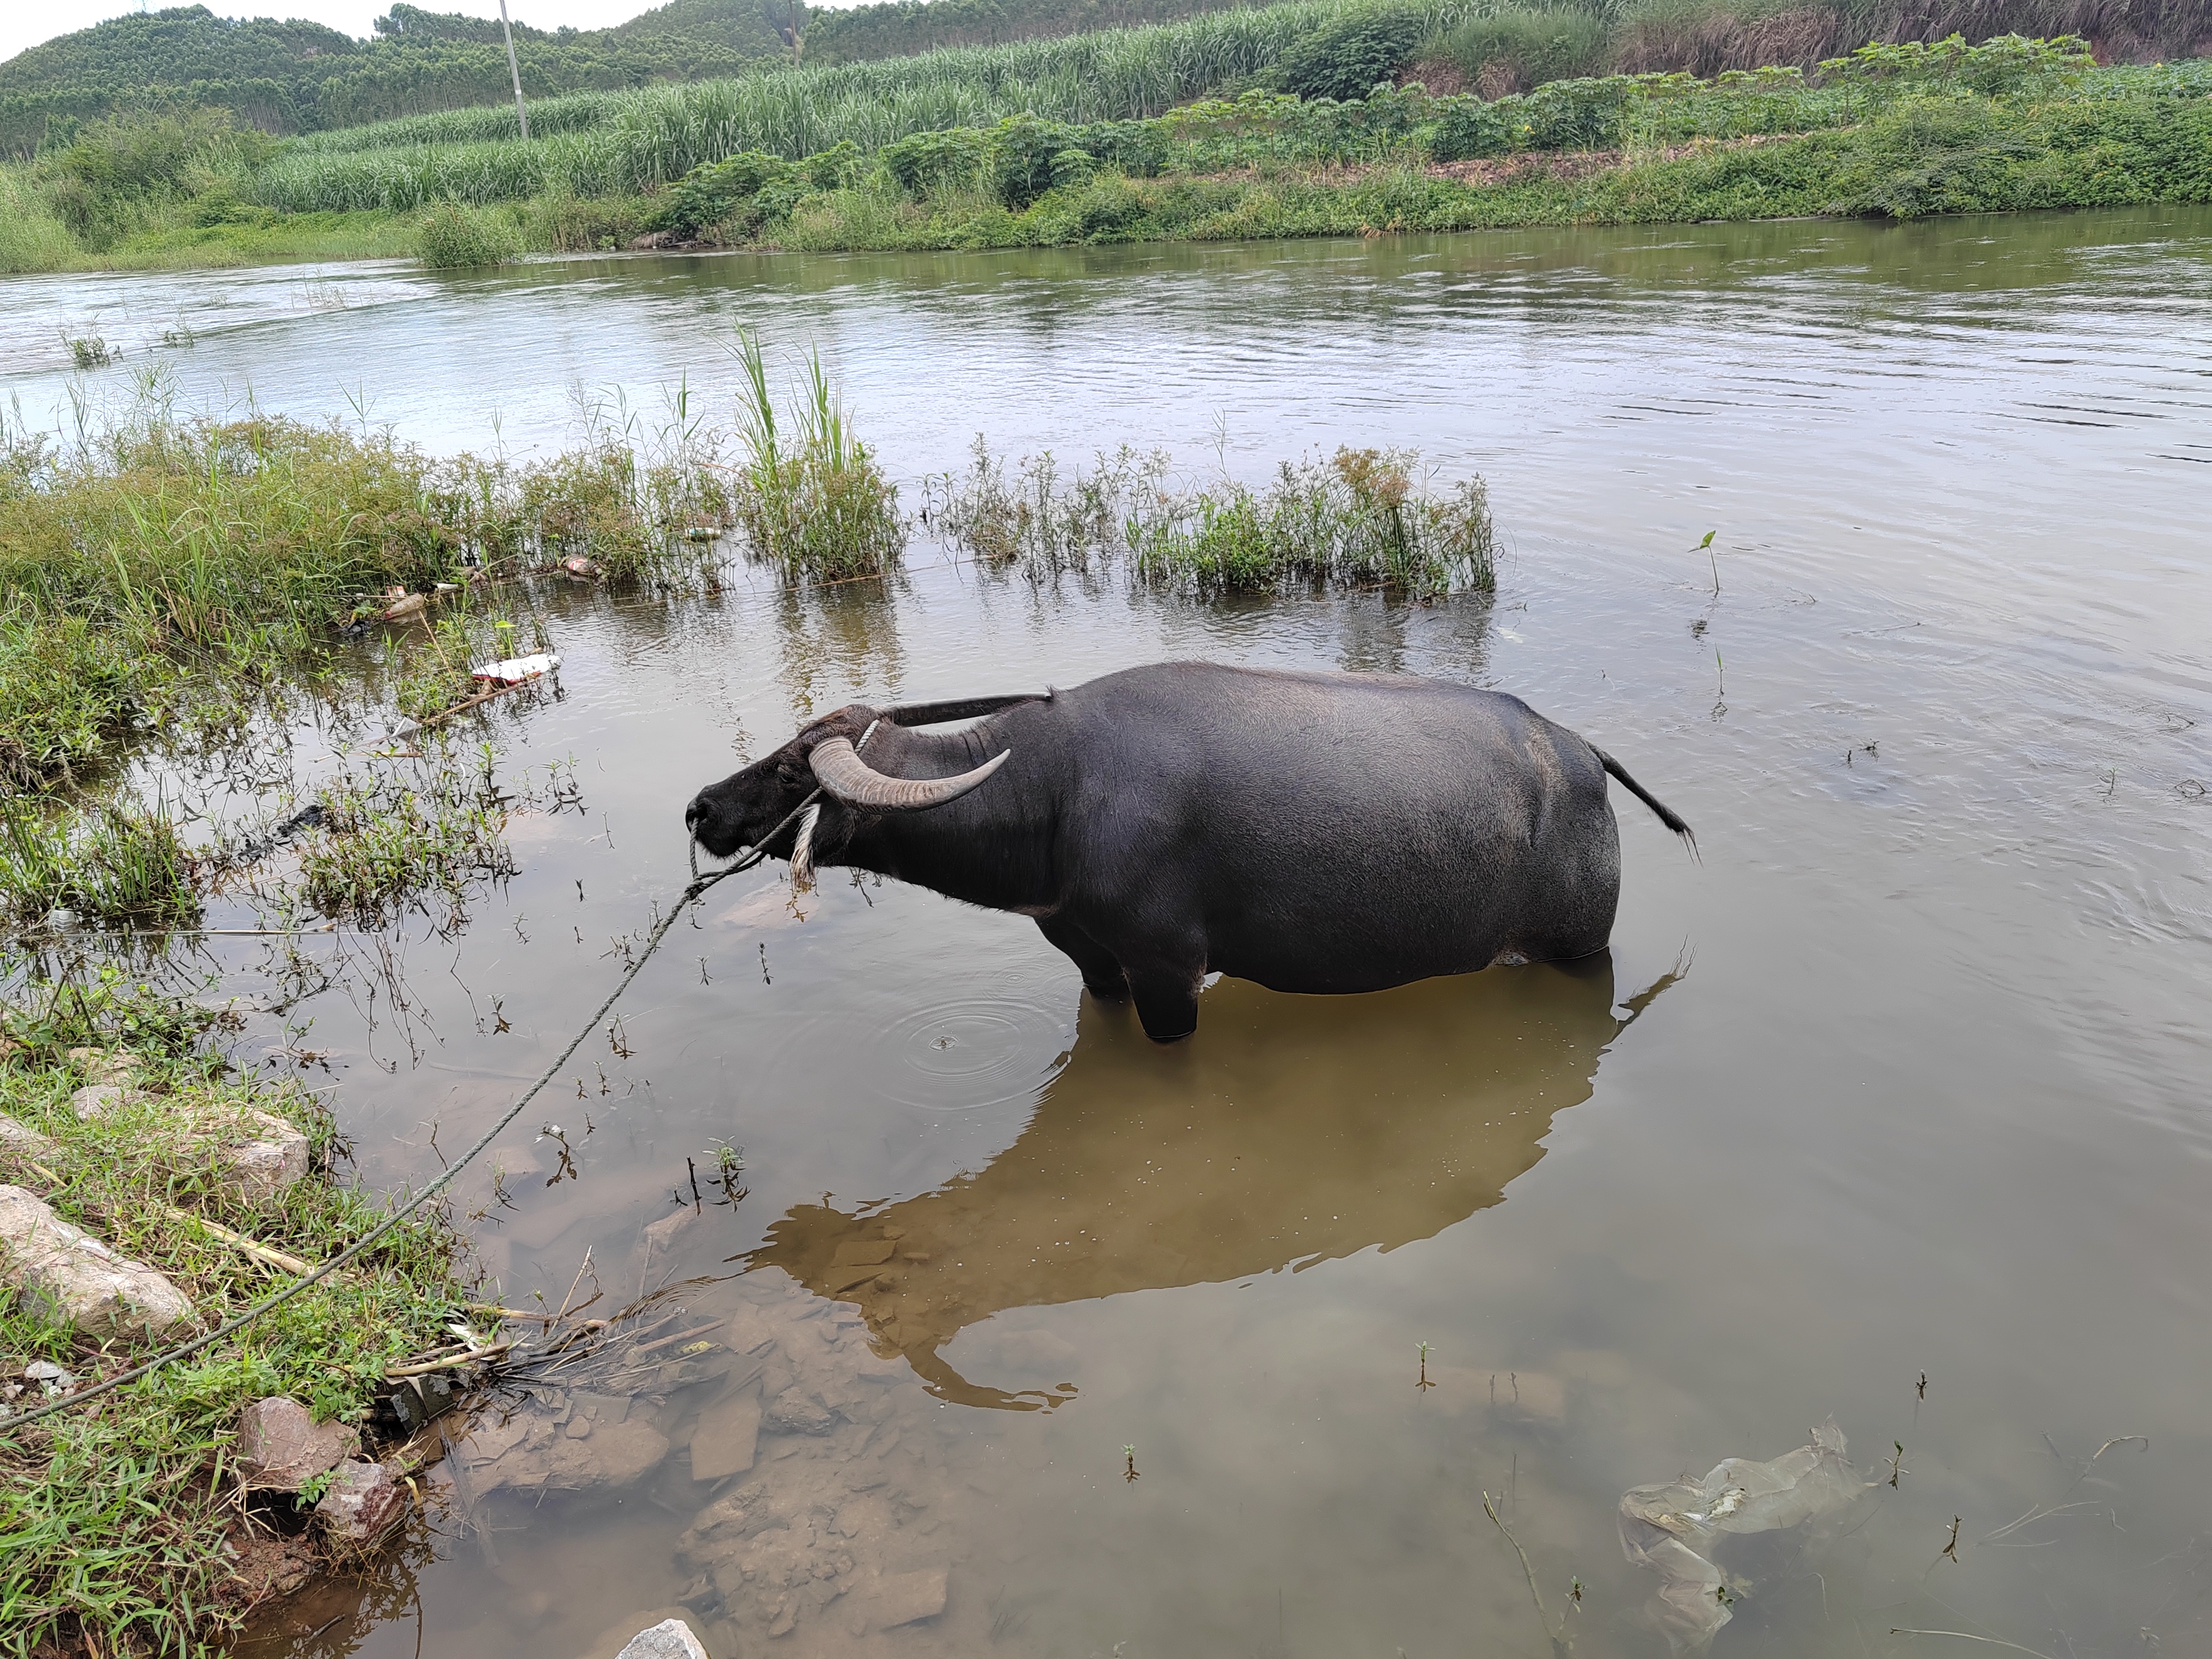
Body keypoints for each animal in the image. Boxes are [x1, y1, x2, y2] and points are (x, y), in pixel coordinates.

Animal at [685, 663, 1690, 1040]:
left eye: (790, 767)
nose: (699, 809)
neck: (1055, 799)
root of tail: (1580, 753)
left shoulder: (1168, 974)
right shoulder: (1095, 965)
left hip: (1577, 949)